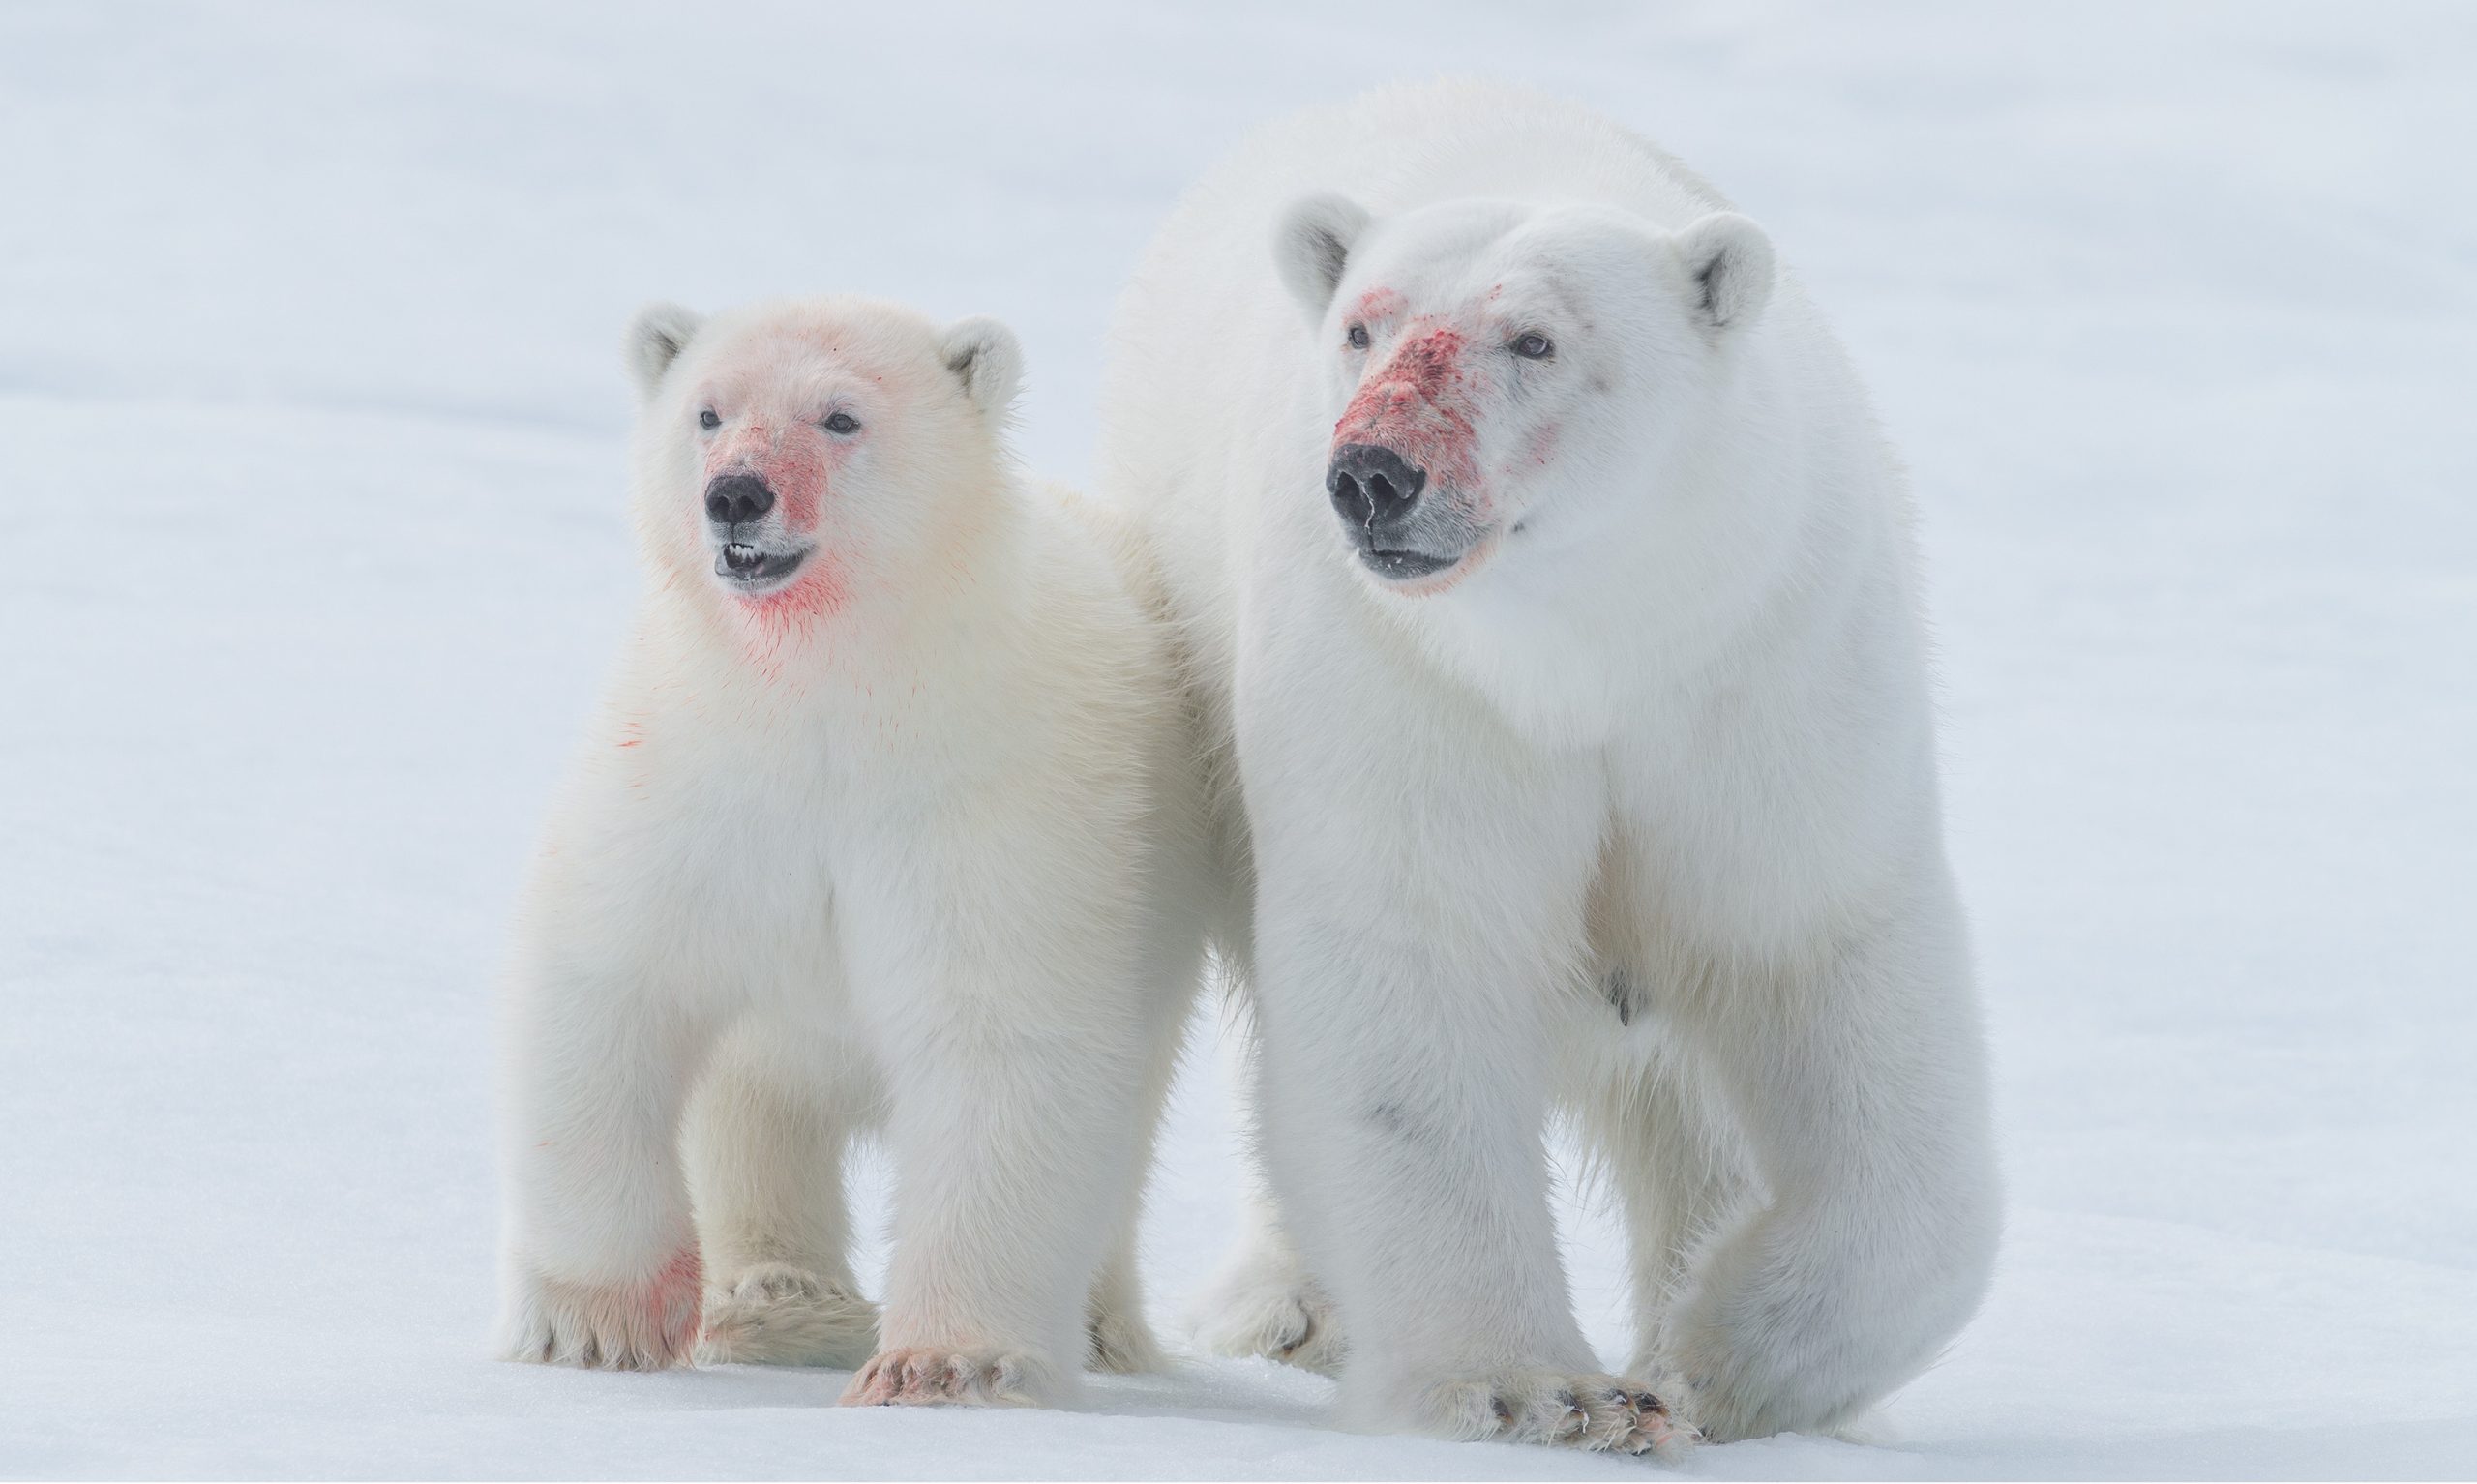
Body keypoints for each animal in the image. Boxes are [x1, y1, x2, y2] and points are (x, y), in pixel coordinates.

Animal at [495, 295, 1210, 1408]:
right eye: (708, 411)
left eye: (840, 417)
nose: (736, 493)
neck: (828, 698)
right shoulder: (695, 780)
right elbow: (609, 982)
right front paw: (594, 1325)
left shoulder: (991, 806)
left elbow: (1003, 1044)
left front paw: (944, 1364)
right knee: (752, 1099)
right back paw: (776, 1296)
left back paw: (1099, 1327)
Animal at [1093, 80, 2000, 1449]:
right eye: (1364, 327)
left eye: (1533, 341)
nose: (1374, 475)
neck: (1586, 649)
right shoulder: (1410, 683)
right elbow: (1408, 971)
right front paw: (1537, 1391)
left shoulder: (1763, 675)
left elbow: (1823, 958)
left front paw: (1715, 1359)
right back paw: (1287, 1307)